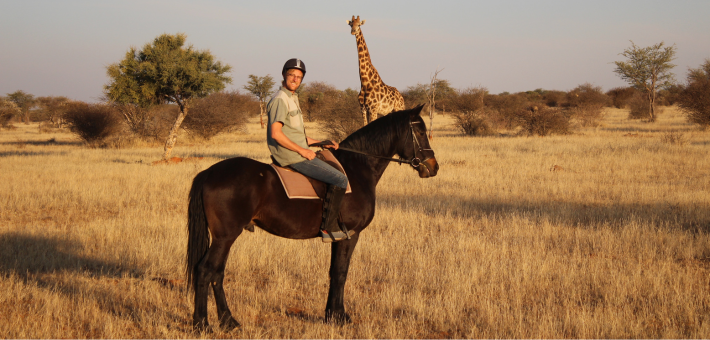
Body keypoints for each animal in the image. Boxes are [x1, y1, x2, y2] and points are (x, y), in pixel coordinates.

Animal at [186, 105, 436, 330]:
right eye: (421, 132)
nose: (433, 167)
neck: (357, 168)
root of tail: (209, 173)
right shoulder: (350, 235)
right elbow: (341, 273)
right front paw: (340, 317)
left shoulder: (338, 237)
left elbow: (333, 272)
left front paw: (330, 315)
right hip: (225, 237)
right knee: (206, 270)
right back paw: (202, 324)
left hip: (224, 238)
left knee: (216, 273)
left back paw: (228, 322)